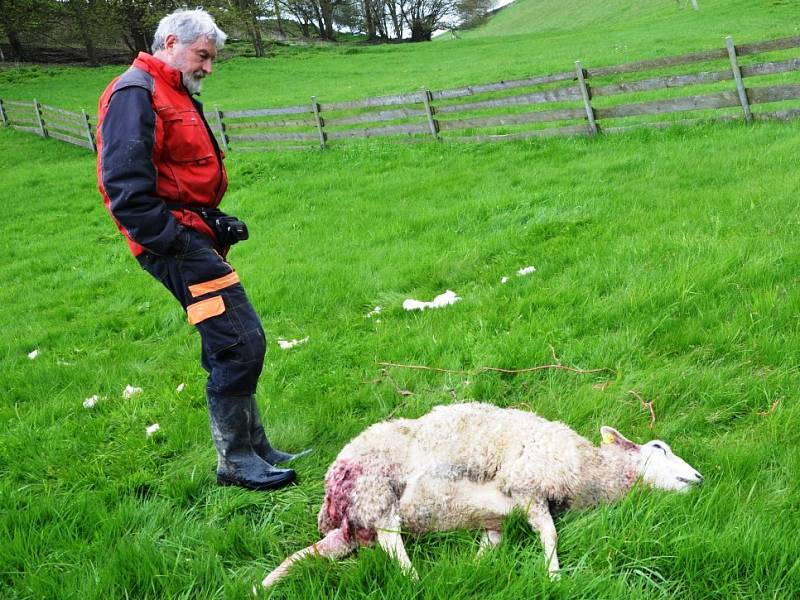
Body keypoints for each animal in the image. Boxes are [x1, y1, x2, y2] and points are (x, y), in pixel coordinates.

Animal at [262, 400, 700, 588]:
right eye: (659, 448)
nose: (698, 477)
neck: (589, 471)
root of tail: (332, 487)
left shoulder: (499, 518)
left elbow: (492, 544)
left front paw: (475, 567)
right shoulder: (527, 485)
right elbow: (551, 534)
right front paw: (554, 575)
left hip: (354, 526)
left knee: (313, 554)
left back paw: (265, 584)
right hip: (377, 492)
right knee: (391, 543)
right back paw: (415, 579)